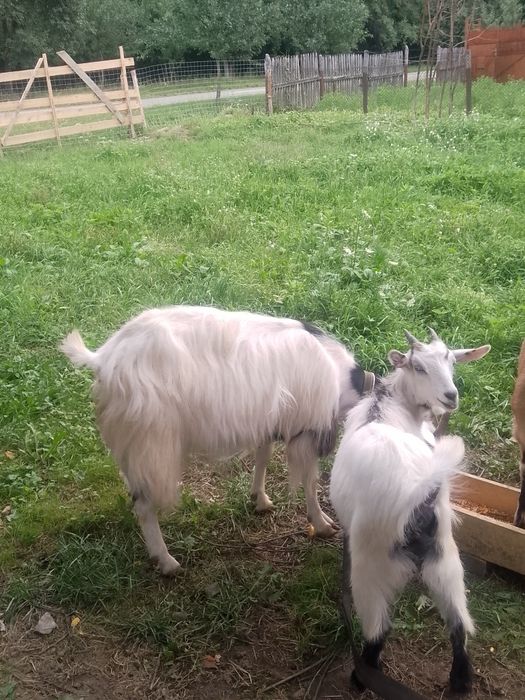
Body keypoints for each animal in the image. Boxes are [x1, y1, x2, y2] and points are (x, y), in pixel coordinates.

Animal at [61, 305, 369, 575]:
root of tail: (104, 357)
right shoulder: (306, 429)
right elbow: (310, 479)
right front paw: (323, 523)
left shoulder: (269, 419)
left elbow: (264, 455)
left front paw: (260, 499)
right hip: (152, 441)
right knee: (145, 504)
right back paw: (167, 562)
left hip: (131, 443)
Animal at [330, 329, 490, 694]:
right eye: (419, 366)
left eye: (452, 362)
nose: (451, 396)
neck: (387, 408)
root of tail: (418, 491)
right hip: (444, 552)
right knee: (458, 622)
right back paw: (461, 681)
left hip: (372, 560)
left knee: (378, 627)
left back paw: (362, 676)